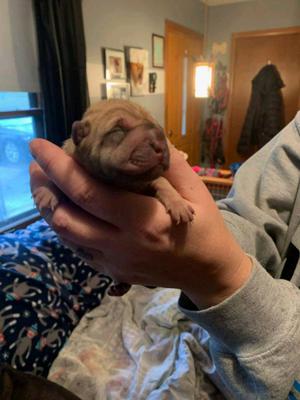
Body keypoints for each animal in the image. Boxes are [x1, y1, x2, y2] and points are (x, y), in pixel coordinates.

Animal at [34, 99, 195, 296]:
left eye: (159, 130)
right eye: (118, 130)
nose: (160, 143)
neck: (117, 181)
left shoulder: (150, 179)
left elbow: (163, 182)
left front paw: (178, 204)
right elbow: (57, 181)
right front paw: (47, 191)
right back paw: (121, 286)